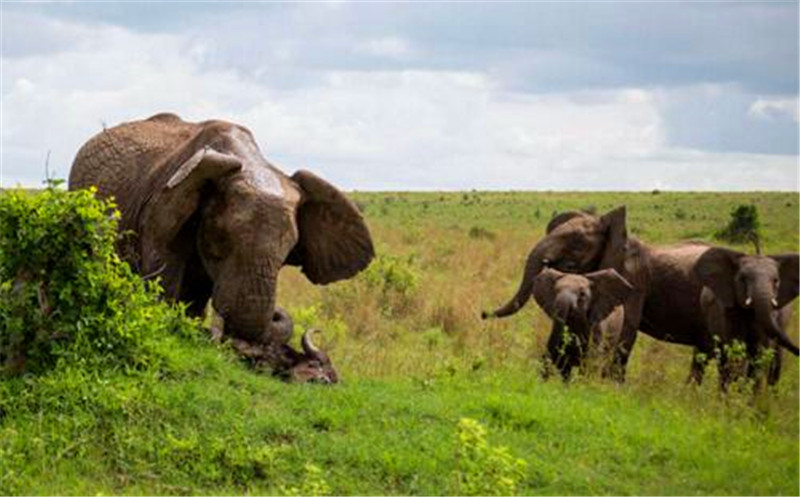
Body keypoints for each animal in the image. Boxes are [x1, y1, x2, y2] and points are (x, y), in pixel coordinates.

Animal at [692, 246, 796, 390]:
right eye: (742, 279)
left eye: (776, 281)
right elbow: (733, 352)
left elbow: (759, 354)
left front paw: (750, 395)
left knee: (776, 361)